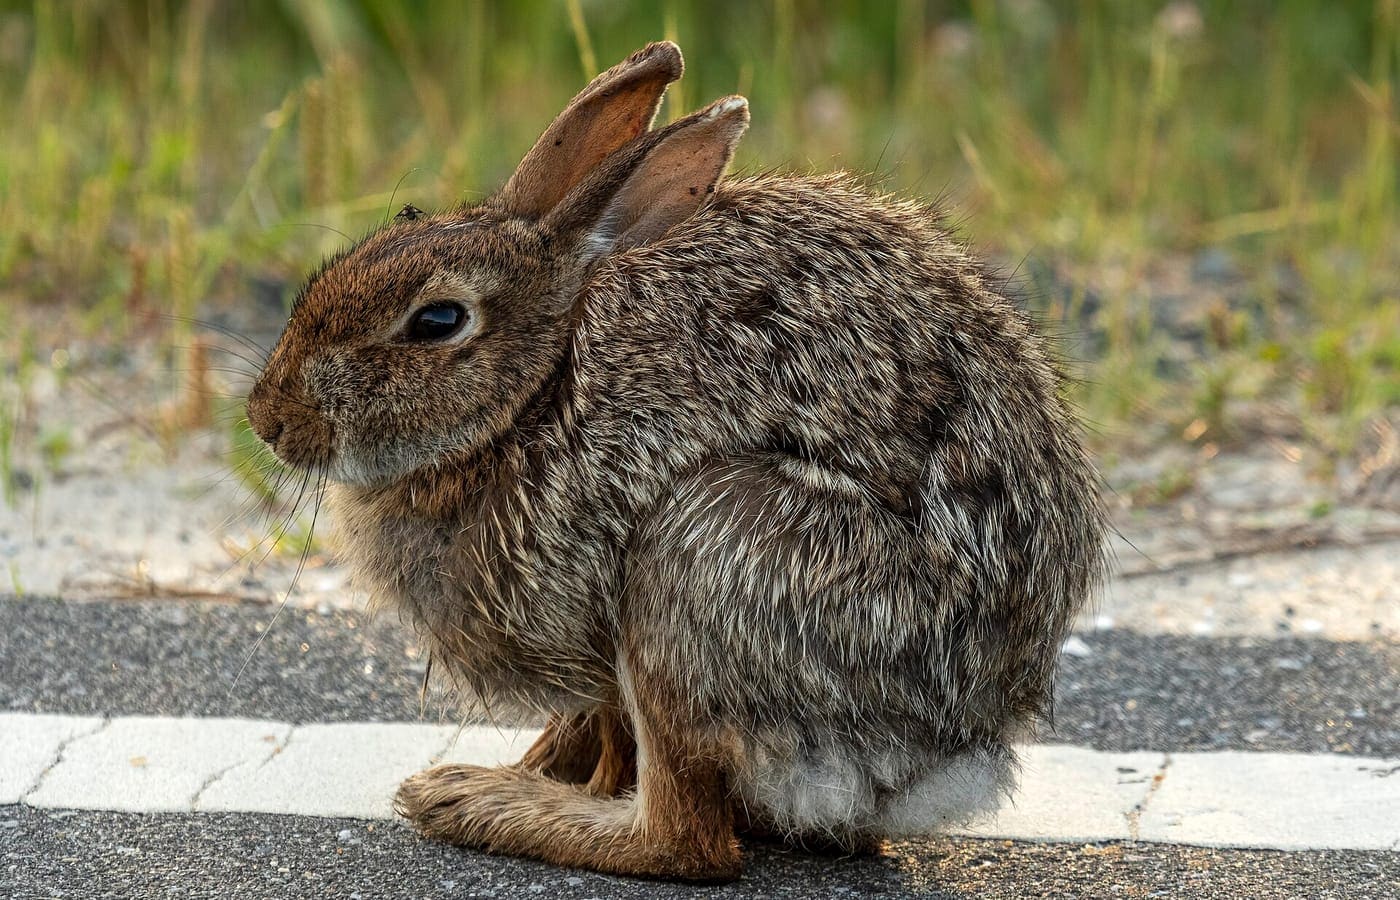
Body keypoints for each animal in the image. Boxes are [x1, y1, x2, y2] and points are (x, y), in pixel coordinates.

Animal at [245, 41, 1107, 882]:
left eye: (437, 321)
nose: (268, 420)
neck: (538, 389)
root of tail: (952, 750)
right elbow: (586, 732)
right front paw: (542, 766)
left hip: (701, 563)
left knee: (685, 843)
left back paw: (471, 801)